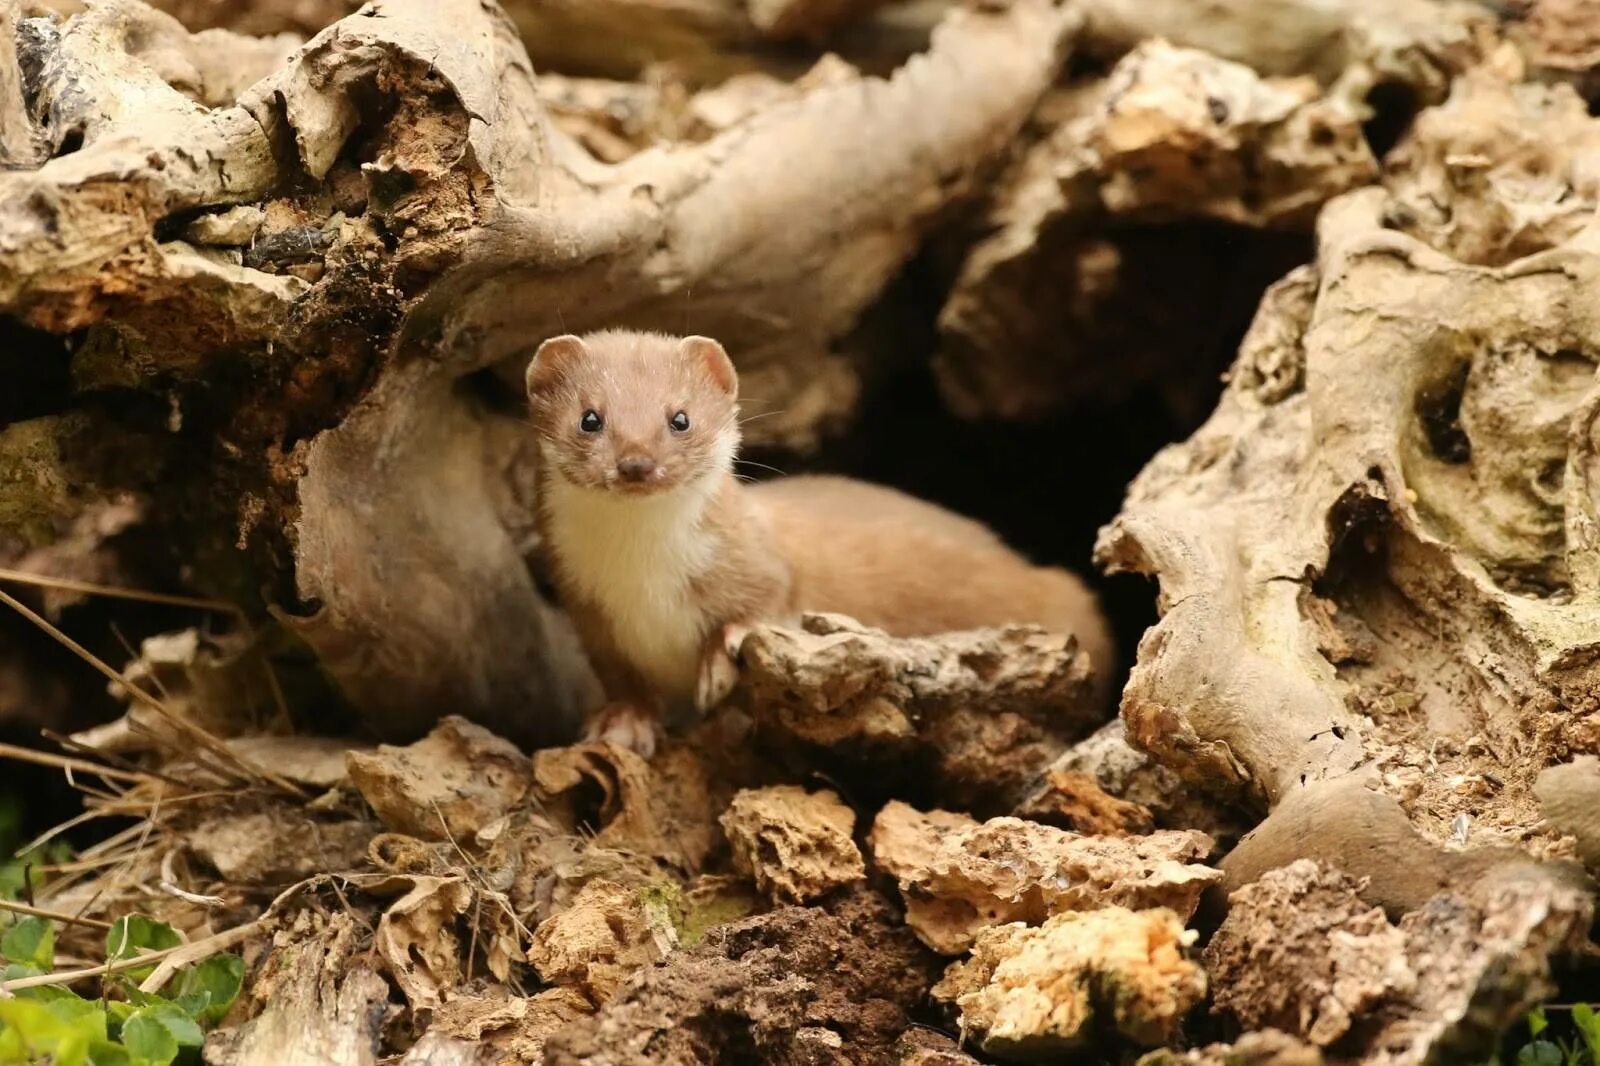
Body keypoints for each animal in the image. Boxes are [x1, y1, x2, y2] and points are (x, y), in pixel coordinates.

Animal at [524, 328, 1113, 752]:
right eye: (590, 417)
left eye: (681, 418)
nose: (636, 463)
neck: (643, 575)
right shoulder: (589, 612)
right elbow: (620, 678)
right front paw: (623, 722)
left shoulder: (763, 559)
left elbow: (771, 597)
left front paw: (724, 655)